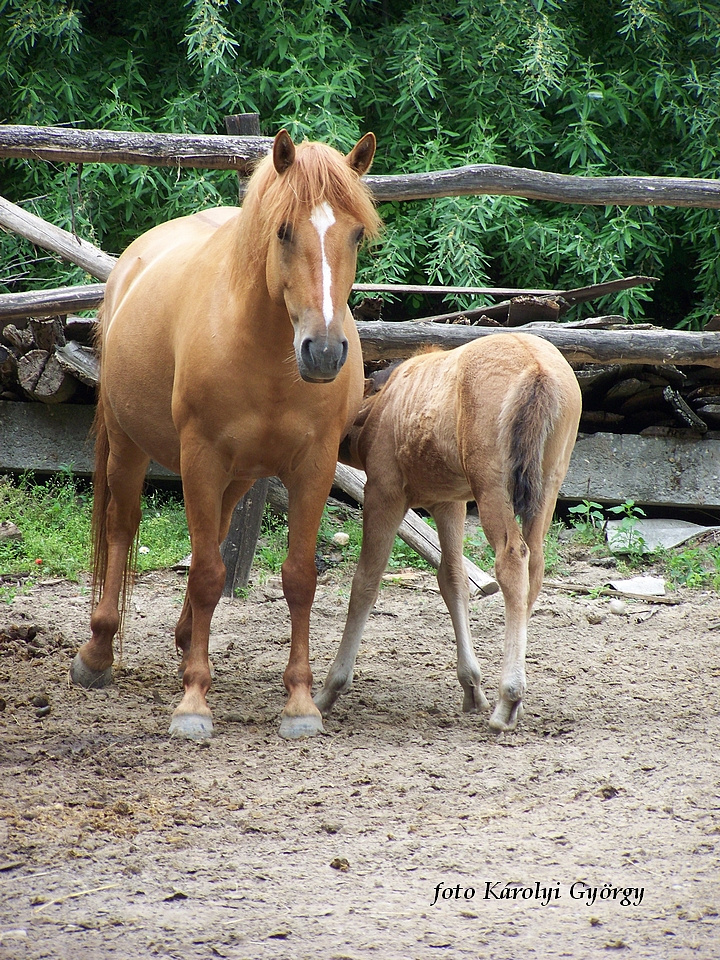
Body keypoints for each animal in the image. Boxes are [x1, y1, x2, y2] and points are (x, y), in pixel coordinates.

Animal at [70, 129, 380, 744]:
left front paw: (300, 703)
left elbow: (299, 577)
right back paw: (98, 652)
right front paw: (194, 701)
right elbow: (210, 573)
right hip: (128, 444)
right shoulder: (201, 458)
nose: (324, 352)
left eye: (357, 233)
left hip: (237, 476)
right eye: (283, 230)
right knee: (123, 528)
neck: (267, 352)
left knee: (208, 537)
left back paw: (188, 638)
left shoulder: (313, 466)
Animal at [316, 334, 580, 732]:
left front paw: (331, 688)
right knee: (534, 567)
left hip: (492, 489)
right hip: (546, 489)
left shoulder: (383, 493)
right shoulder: (449, 502)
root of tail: (538, 371)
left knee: (512, 561)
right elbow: (453, 579)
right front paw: (471, 685)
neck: (382, 402)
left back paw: (509, 697)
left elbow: (365, 583)